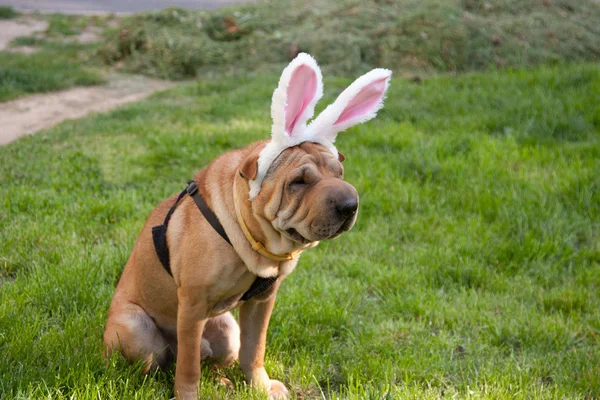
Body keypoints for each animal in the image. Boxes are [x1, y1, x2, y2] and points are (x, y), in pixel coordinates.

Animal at [103, 54, 392, 400]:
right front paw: (187, 395)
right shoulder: (192, 305)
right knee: (161, 364)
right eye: (298, 182)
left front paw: (260, 386)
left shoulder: (262, 302)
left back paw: (221, 381)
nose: (350, 204)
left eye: (339, 173)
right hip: (135, 330)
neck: (252, 237)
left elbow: (254, 348)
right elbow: (188, 367)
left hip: (227, 329)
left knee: (213, 357)